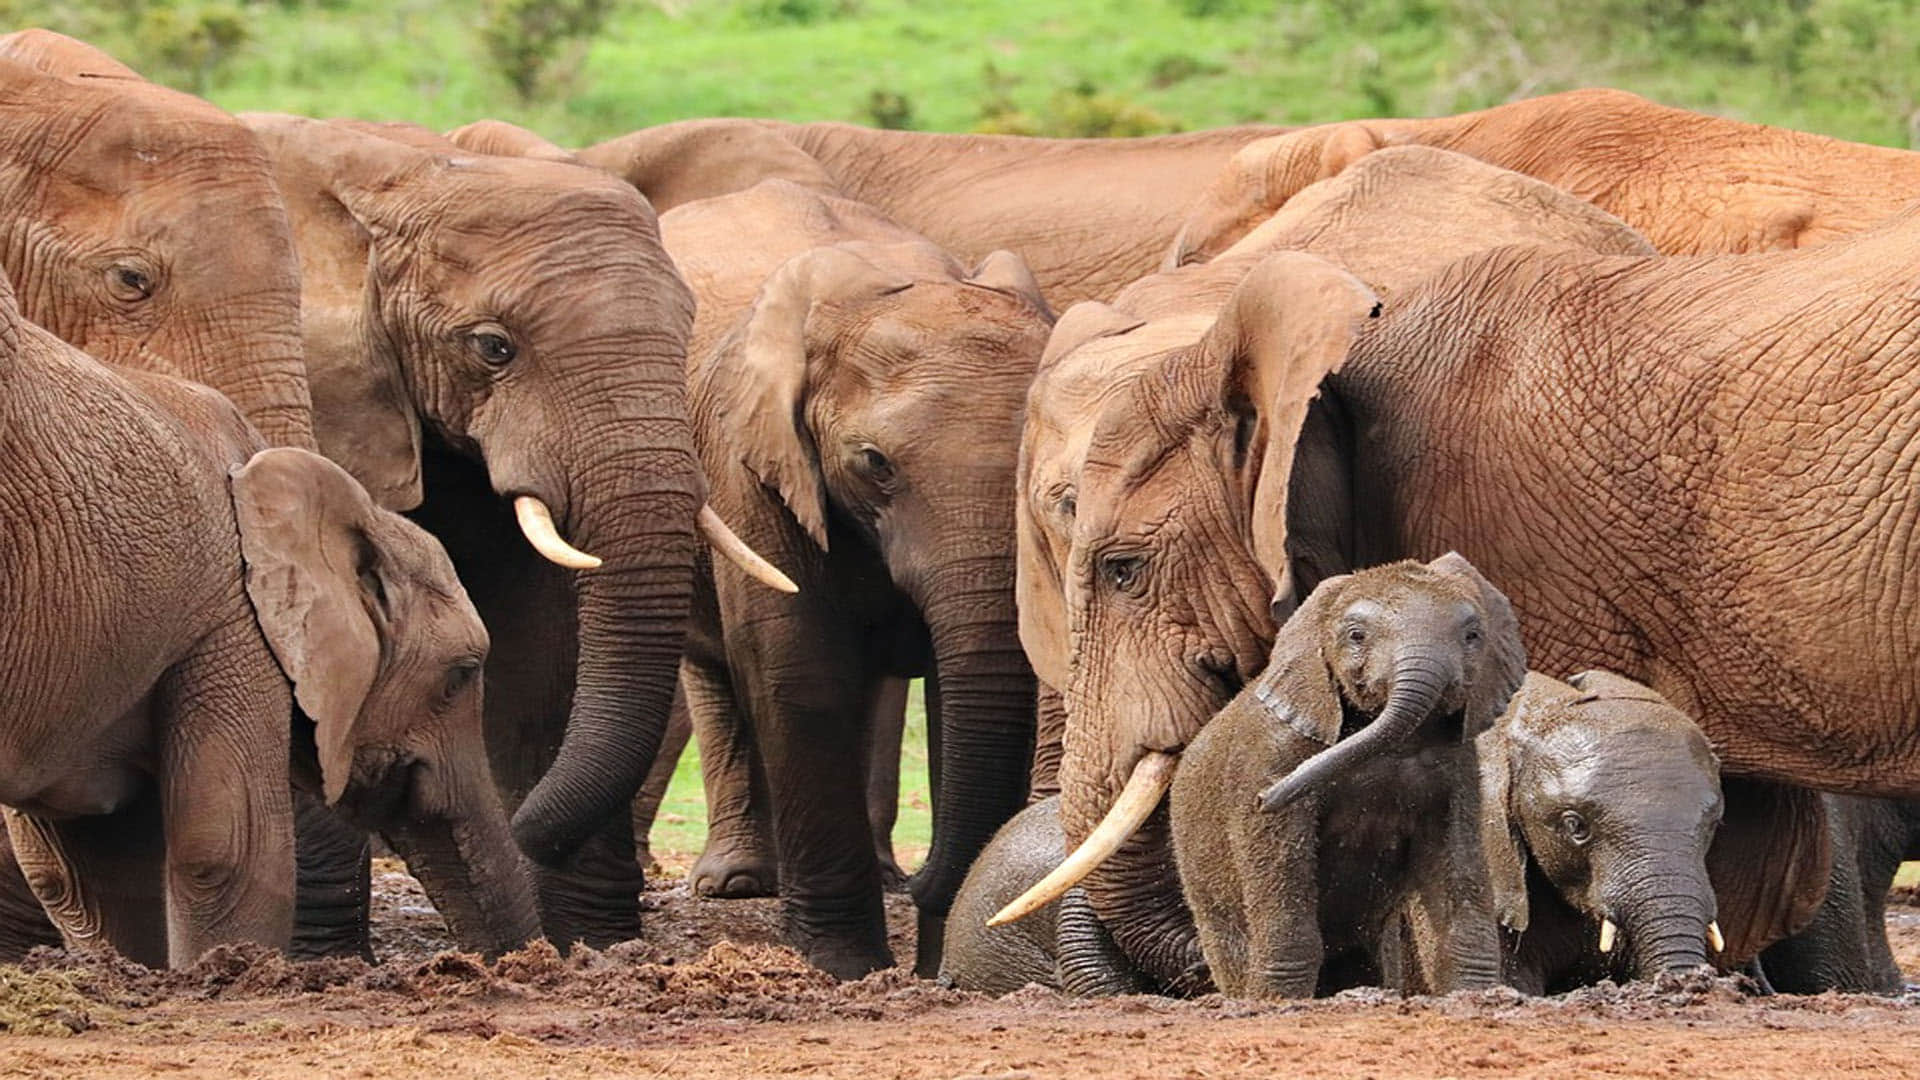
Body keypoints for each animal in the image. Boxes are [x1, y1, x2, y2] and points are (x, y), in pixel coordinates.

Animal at [239, 114, 789, 953]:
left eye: (686, 336)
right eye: (493, 347)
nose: (521, 825)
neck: (400, 173)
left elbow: (541, 641)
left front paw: (589, 945)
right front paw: (320, 958)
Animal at [659, 178, 1053, 978]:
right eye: (875, 463)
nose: (928, 881)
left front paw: (935, 969)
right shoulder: (750, 465)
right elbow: (797, 670)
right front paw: (843, 967)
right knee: (716, 673)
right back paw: (737, 884)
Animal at [1166, 554, 1521, 1000]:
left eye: (1473, 635)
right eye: (1356, 636)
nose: (1266, 798)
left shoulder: (1459, 772)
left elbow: (1457, 871)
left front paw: (1475, 995)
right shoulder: (1270, 755)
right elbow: (1282, 873)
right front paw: (1279, 1000)